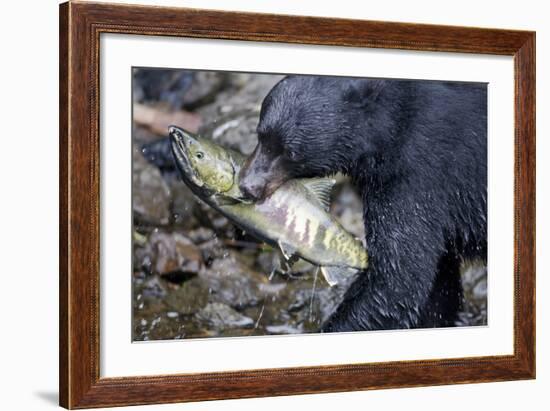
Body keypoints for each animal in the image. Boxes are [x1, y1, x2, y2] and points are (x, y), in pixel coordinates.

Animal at [239, 75, 490, 332]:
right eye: (260, 136)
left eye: (290, 152)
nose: (248, 186)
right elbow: (438, 282)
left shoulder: (417, 176)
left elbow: (397, 278)